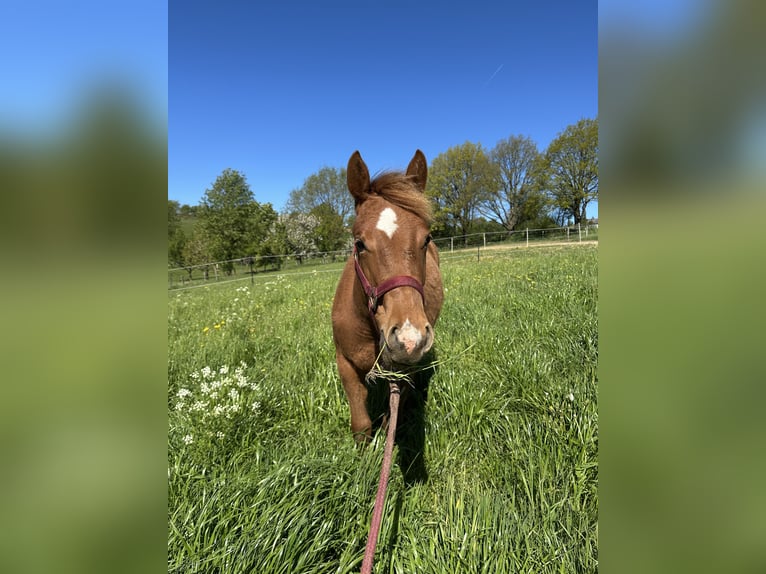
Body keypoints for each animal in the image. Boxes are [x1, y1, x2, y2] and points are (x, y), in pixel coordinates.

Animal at [331, 150, 444, 443]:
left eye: (426, 239)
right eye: (359, 243)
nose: (408, 338)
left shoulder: (405, 368)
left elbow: (392, 413)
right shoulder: (345, 363)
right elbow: (361, 424)